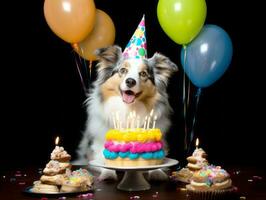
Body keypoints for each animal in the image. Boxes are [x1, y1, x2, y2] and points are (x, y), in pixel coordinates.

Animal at [76, 45, 178, 180]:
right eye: (123, 70)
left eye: (143, 73)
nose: (130, 81)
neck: (128, 109)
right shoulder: (96, 148)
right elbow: (102, 160)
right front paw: (108, 174)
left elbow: (158, 164)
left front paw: (157, 173)